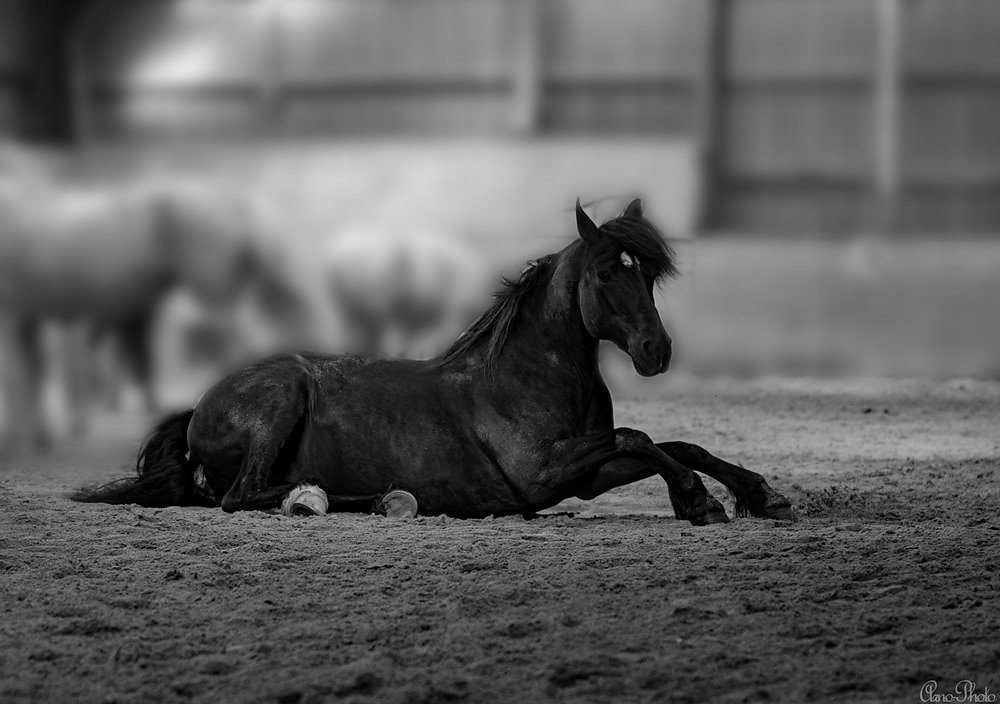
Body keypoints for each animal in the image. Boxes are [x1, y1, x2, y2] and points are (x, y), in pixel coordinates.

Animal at [72, 197, 796, 524]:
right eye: (603, 274)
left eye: (645, 273)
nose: (657, 351)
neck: (524, 378)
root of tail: (200, 406)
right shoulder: (542, 474)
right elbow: (643, 438)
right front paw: (697, 501)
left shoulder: (583, 472)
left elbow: (673, 442)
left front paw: (760, 494)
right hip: (281, 397)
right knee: (241, 497)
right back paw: (353, 497)